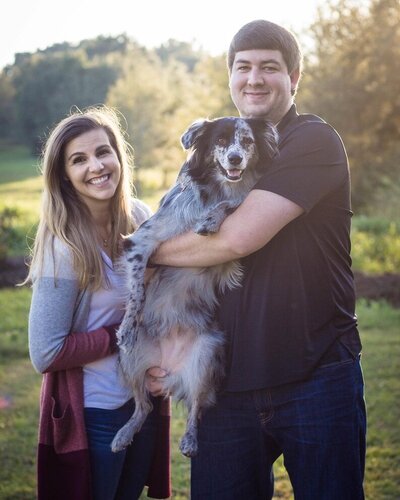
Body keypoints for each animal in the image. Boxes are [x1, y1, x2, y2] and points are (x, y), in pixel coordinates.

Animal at [111, 116, 276, 458]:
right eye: (221, 141)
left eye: (247, 141)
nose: (235, 159)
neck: (219, 188)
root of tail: (169, 371)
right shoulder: (142, 242)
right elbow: (137, 293)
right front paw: (128, 325)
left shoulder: (232, 252)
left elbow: (234, 205)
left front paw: (211, 220)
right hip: (129, 361)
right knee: (143, 406)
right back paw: (123, 434)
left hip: (205, 358)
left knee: (195, 408)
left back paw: (189, 440)